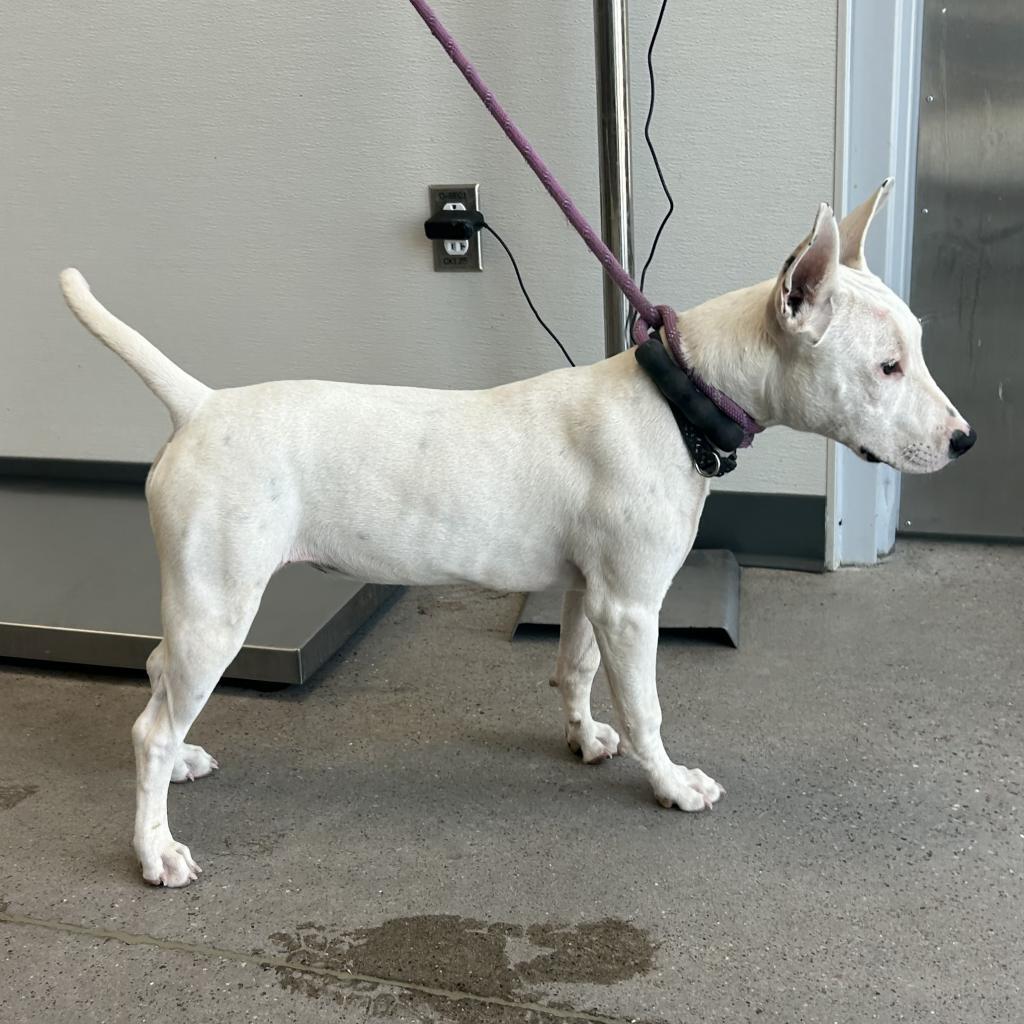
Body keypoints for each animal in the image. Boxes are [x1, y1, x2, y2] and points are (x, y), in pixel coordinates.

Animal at [59, 180, 970, 884]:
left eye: (919, 349)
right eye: (887, 367)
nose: (965, 442)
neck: (677, 400)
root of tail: (200, 405)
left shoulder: (588, 591)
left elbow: (576, 670)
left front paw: (585, 737)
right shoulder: (633, 604)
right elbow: (647, 708)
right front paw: (671, 784)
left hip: (200, 602)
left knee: (158, 678)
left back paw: (182, 762)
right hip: (220, 605)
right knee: (149, 727)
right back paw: (155, 850)